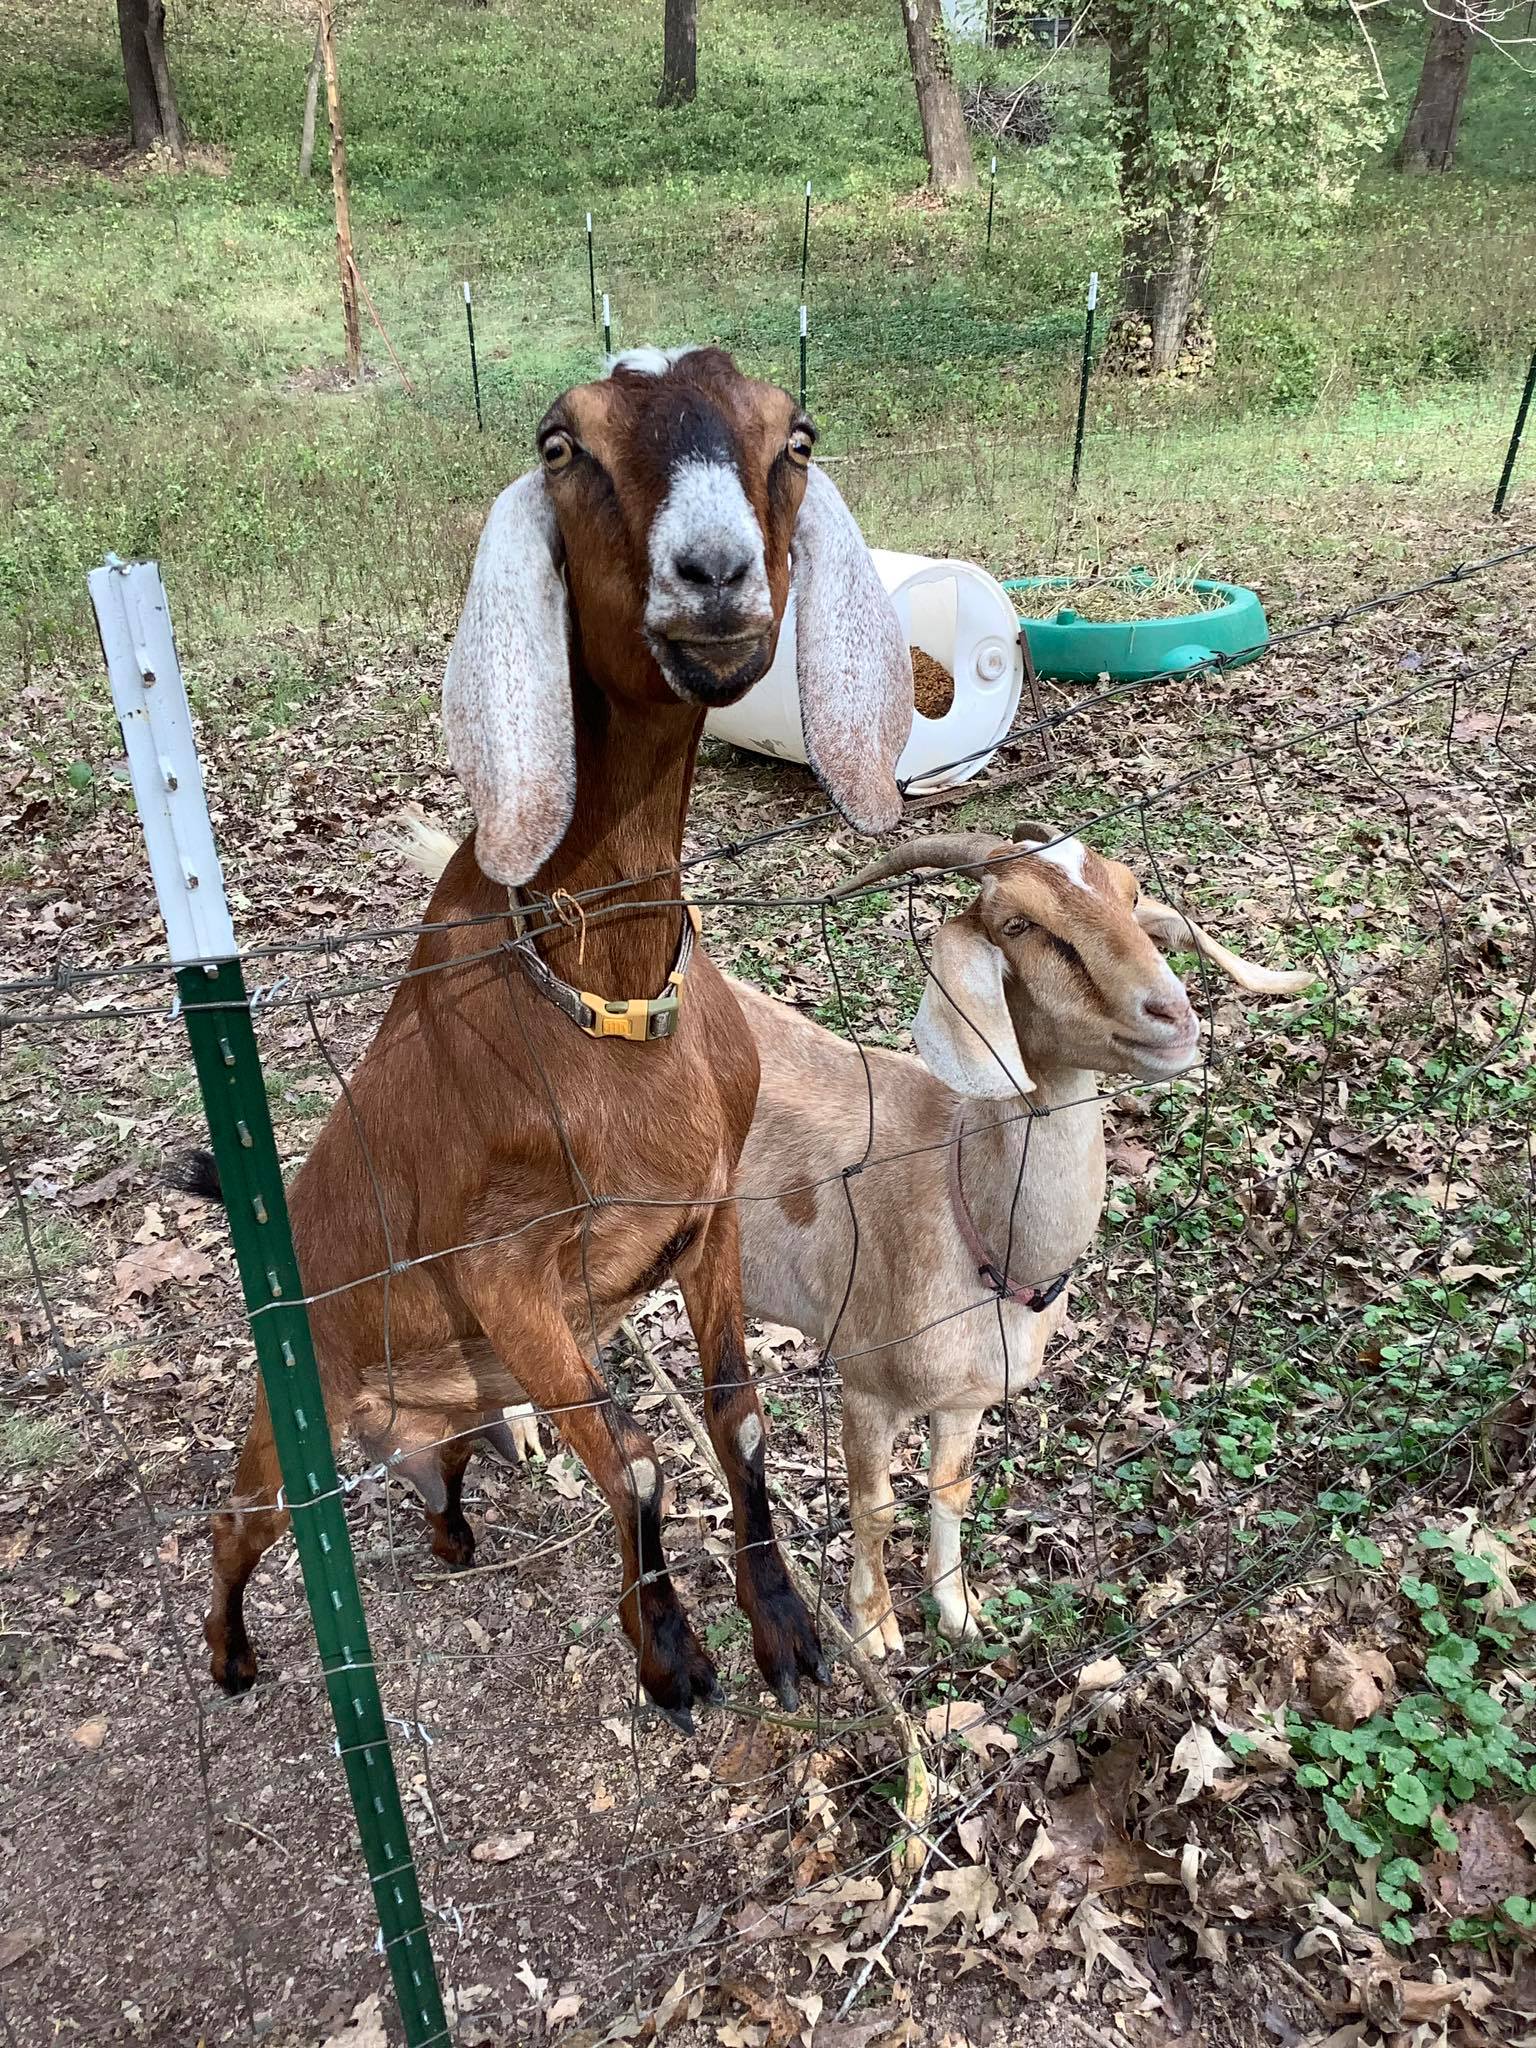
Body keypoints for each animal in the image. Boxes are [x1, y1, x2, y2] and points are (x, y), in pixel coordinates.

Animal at [201, 346, 913, 1724]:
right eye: (559, 444)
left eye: (793, 435)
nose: (713, 571)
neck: (611, 1003)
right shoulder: (504, 1276)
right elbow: (633, 1456)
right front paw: (672, 1655)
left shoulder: (708, 1210)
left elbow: (735, 1415)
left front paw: (785, 1630)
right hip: (293, 1421)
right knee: (235, 1522)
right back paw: (228, 1653)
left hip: (439, 1415)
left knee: (436, 1469)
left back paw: (451, 1535)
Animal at [728, 826, 1314, 1656]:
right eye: (1019, 926)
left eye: (1133, 892)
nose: (1172, 1014)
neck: (962, 1205)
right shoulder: (864, 1380)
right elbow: (875, 1507)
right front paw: (873, 1628)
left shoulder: (969, 1396)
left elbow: (952, 1489)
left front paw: (957, 1609)